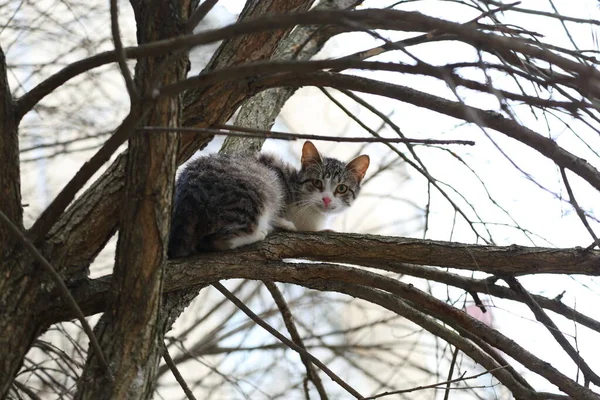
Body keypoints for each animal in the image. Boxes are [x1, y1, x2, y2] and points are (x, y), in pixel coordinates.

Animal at [166, 142, 368, 258]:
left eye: (341, 188)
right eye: (317, 183)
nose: (326, 199)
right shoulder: (272, 167)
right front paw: (283, 222)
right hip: (253, 192)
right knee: (212, 241)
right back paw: (259, 233)